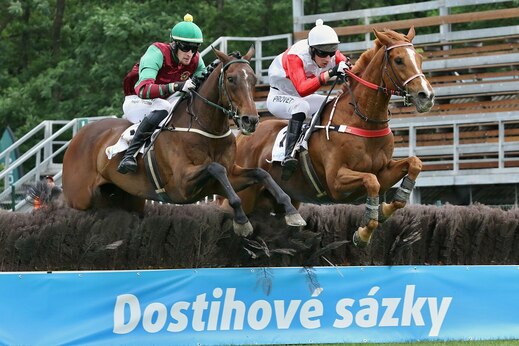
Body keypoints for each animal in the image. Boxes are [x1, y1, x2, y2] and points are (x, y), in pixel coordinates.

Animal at [61, 47, 306, 237]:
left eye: (253, 79)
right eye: (231, 79)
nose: (251, 120)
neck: (207, 129)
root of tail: (77, 137)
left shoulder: (229, 176)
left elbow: (261, 173)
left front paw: (291, 211)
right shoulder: (181, 184)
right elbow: (215, 168)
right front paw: (242, 222)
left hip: (126, 198)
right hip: (79, 199)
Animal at [232, 28, 434, 247]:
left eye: (420, 58)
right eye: (398, 60)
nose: (426, 96)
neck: (361, 120)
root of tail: (241, 138)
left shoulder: (383, 172)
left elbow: (413, 165)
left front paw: (382, 211)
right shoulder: (336, 182)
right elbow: (371, 181)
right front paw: (363, 233)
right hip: (245, 194)